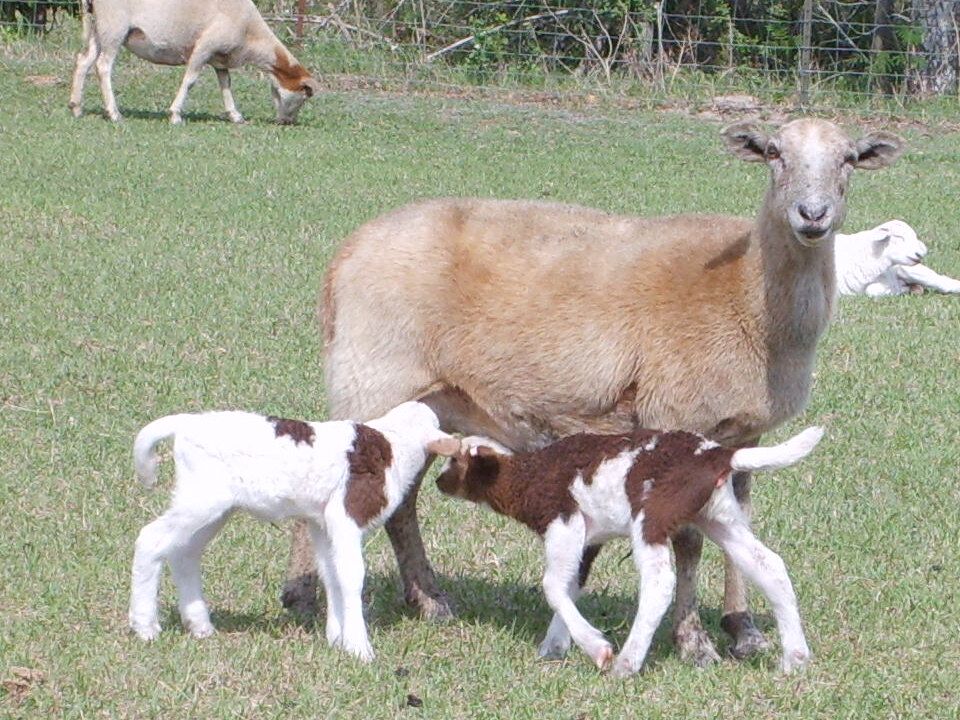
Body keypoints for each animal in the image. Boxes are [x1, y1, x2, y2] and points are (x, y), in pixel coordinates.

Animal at [69, 0, 322, 124]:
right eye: (304, 97)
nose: (287, 122)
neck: (251, 36)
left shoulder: (220, 57)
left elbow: (226, 84)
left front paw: (235, 116)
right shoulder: (205, 47)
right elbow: (190, 81)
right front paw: (175, 115)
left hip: (98, 28)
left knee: (83, 60)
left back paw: (76, 107)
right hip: (115, 27)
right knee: (103, 66)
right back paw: (114, 114)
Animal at [129, 402, 460, 660]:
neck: (394, 444)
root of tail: (186, 423)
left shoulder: (322, 523)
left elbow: (331, 573)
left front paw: (336, 639)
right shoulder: (345, 515)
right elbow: (351, 575)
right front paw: (359, 647)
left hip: (213, 506)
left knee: (185, 553)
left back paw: (200, 626)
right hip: (201, 498)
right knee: (150, 539)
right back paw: (145, 626)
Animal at [282, 119, 904, 668]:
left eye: (848, 159)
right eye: (775, 153)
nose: (812, 216)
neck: (750, 295)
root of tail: (345, 256)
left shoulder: (742, 434)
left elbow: (740, 530)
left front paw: (743, 629)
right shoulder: (679, 416)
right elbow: (689, 542)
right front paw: (694, 641)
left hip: (428, 401)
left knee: (403, 502)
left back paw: (429, 601)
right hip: (369, 379)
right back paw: (304, 597)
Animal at [832, 221, 960, 296]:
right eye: (899, 237)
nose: (920, 254)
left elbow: (872, 290)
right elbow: (872, 290)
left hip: (909, 269)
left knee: (941, 281)